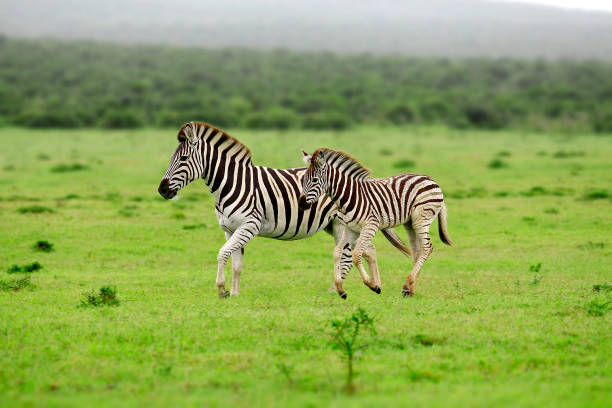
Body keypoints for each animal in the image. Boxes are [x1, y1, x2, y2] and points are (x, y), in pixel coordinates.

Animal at [298, 148, 452, 298]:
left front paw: (373, 285)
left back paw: (408, 283)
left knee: (427, 248)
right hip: (410, 223)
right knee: (417, 250)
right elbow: (337, 252)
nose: (301, 204)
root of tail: (430, 179)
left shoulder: (370, 226)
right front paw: (340, 289)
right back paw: (409, 289)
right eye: (303, 179)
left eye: (315, 180)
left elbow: (356, 255)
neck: (350, 197)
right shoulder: (350, 228)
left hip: (422, 218)